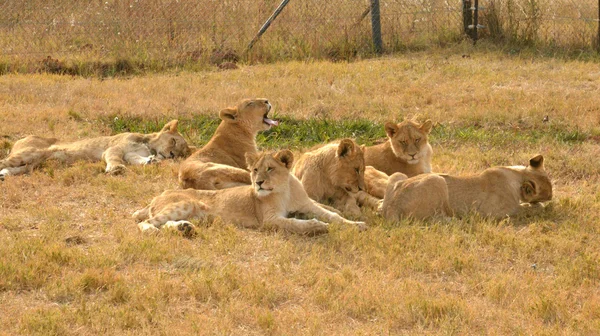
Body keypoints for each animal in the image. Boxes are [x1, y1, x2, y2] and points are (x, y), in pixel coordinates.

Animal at [0, 119, 190, 180]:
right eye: (173, 141)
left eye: (181, 154)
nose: (171, 155)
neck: (148, 145)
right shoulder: (113, 149)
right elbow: (115, 159)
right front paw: (116, 169)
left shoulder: (130, 154)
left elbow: (137, 160)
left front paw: (151, 161)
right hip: (30, 153)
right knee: (3, 161)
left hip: (30, 164)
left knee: (14, 169)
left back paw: (4, 176)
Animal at [134, 148, 366, 235]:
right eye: (254, 170)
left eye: (270, 168)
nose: (259, 183)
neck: (285, 190)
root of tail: (157, 196)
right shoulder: (270, 220)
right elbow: (295, 223)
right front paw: (317, 226)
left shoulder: (307, 204)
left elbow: (334, 215)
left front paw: (358, 224)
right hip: (186, 203)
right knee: (147, 223)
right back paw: (154, 230)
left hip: (196, 215)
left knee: (166, 224)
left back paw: (184, 228)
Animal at [380, 155, 552, 220]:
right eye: (548, 195)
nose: (552, 197)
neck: (517, 175)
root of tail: (392, 206)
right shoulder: (492, 212)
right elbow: (523, 208)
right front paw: (538, 206)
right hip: (437, 180)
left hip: (398, 175)